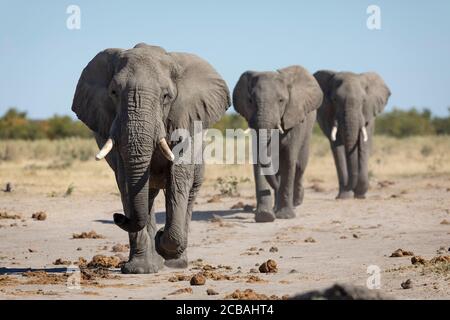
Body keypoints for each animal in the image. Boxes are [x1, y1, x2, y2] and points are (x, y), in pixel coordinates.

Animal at [73, 43, 232, 274]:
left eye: (166, 96)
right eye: (113, 92)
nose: (117, 217)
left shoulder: (184, 120)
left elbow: (179, 177)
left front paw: (162, 241)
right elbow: (126, 182)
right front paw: (138, 270)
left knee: (188, 194)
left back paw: (176, 262)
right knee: (145, 195)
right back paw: (152, 263)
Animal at [232, 65, 324, 222]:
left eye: (281, 100)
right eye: (250, 101)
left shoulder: (294, 117)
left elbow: (288, 159)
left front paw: (285, 216)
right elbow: (259, 160)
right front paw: (265, 216)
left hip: (308, 130)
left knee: (300, 165)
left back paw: (296, 201)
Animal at [312, 71, 390, 199]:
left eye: (363, 101)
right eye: (334, 100)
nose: (353, 189)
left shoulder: (368, 114)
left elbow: (364, 143)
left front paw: (360, 194)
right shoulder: (327, 114)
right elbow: (337, 147)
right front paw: (343, 197)